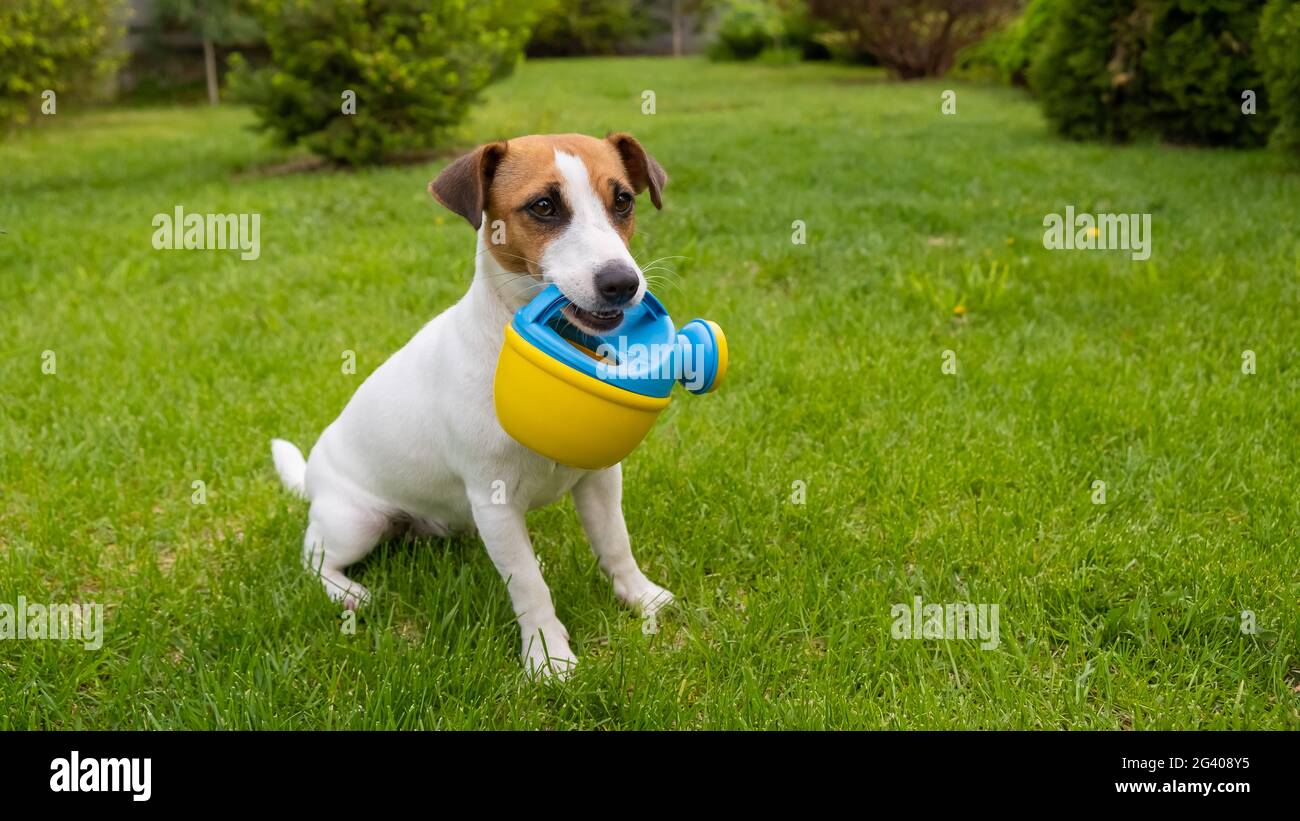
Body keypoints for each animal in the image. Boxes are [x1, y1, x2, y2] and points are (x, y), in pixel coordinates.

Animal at [275, 131, 681, 675]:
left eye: (623, 201)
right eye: (544, 206)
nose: (622, 283)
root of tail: (313, 478)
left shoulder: (598, 479)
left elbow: (614, 543)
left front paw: (641, 597)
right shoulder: (495, 499)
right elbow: (529, 587)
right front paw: (548, 657)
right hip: (356, 522)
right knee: (314, 555)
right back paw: (348, 592)